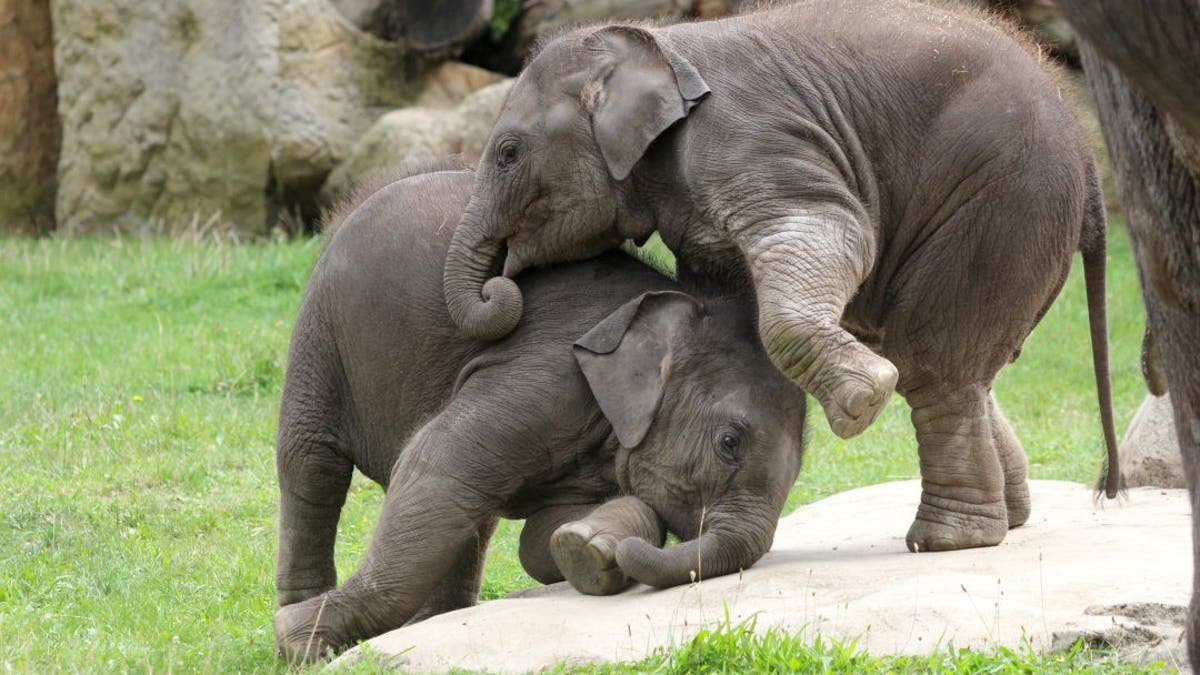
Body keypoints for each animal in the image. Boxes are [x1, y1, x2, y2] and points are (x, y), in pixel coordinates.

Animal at [272, 165, 806, 658]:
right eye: (729, 443)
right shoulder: (546, 373)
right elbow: (436, 468)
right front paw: (301, 637)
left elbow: (538, 535)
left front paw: (588, 547)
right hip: (321, 329)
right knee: (312, 466)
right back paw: (301, 626)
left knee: (472, 517)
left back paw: (435, 618)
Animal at [444, 0, 1123, 550]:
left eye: (507, 154)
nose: (500, 289)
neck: (662, 40)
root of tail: (1088, 152)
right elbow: (727, 297)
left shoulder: (748, 141)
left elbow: (836, 230)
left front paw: (863, 401)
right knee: (967, 368)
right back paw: (1009, 518)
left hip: (1002, 202)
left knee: (935, 366)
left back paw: (947, 540)